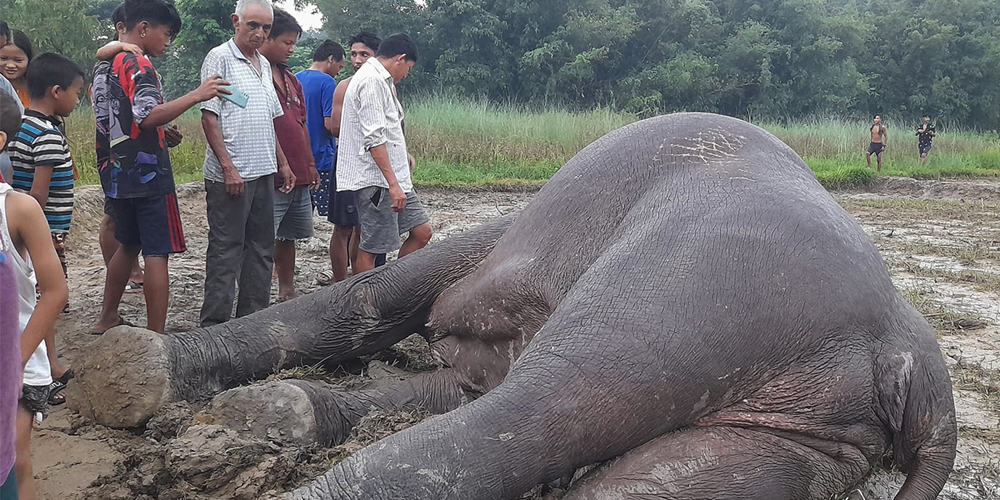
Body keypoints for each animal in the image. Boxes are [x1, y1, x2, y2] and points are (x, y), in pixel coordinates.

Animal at [72, 113, 956, 500]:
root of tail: (911, 352)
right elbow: (407, 348)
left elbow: (380, 300)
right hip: (809, 433)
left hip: (704, 290)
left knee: (534, 412)